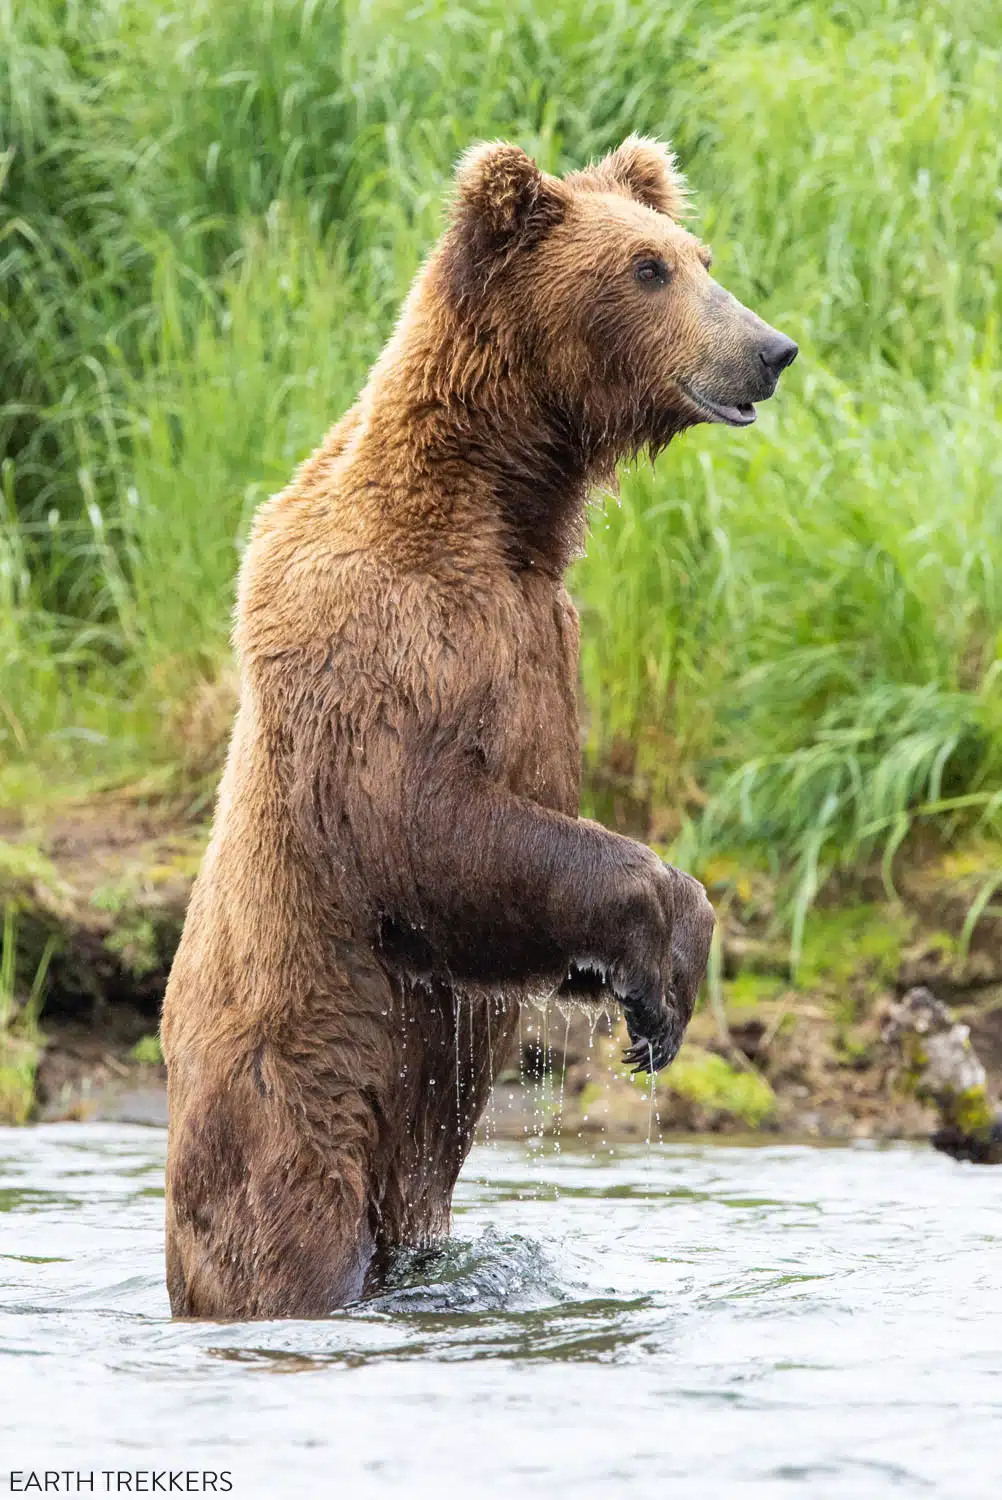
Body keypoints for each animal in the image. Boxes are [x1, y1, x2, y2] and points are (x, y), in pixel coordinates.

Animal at [162, 135, 798, 1320]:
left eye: (699, 256)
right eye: (648, 270)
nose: (770, 350)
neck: (501, 507)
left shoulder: (544, 641)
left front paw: (653, 992)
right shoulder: (378, 633)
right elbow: (422, 825)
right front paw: (663, 949)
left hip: (406, 1151)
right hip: (291, 1088)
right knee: (288, 1226)